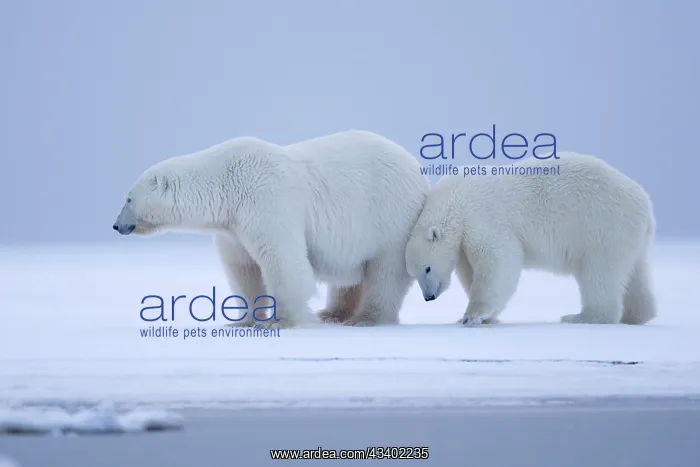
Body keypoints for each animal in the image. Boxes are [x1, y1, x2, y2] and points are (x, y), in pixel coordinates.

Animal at [113, 130, 431, 328]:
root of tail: (416, 169)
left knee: (386, 273)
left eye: (128, 198)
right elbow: (243, 269)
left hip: (390, 216)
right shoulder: (232, 227)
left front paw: (284, 320)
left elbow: (282, 259)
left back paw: (367, 318)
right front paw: (243, 320)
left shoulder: (265, 200)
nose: (116, 225)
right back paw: (332, 313)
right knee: (350, 279)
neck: (226, 182)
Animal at [405, 152, 657, 326]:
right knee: (636, 273)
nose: (429, 297)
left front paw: (472, 316)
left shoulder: (482, 218)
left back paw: (581, 316)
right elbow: (471, 272)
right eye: (414, 274)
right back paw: (637, 315)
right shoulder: (464, 241)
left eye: (427, 268)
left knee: (599, 274)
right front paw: (484, 317)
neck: (454, 198)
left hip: (603, 227)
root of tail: (645, 205)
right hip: (629, 237)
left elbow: (499, 261)